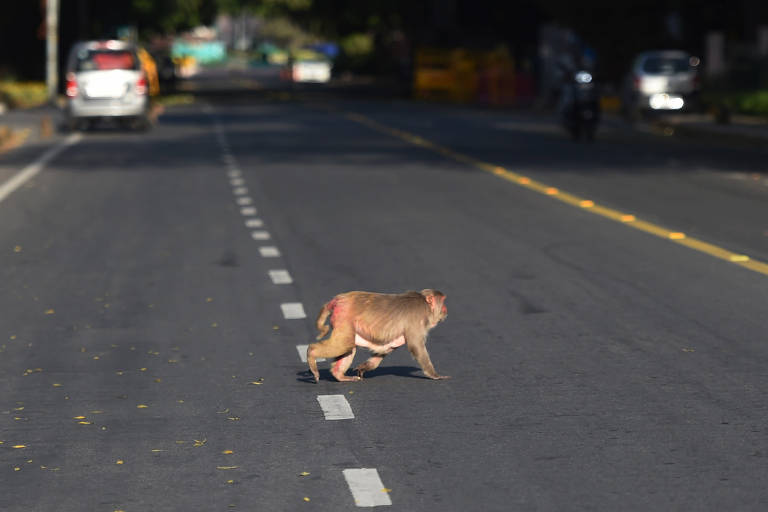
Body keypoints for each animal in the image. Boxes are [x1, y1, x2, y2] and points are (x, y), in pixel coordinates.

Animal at [306, 289, 449, 383]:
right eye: (443, 301)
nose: (446, 309)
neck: (425, 304)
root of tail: (338, 299)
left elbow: (386, 349)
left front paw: (364, 367)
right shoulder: (417, 320)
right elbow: (416, 346)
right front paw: (434, 375)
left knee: (349, 347)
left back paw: (339, 376)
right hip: (344, 318)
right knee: (344, 344)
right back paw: (311, 353)